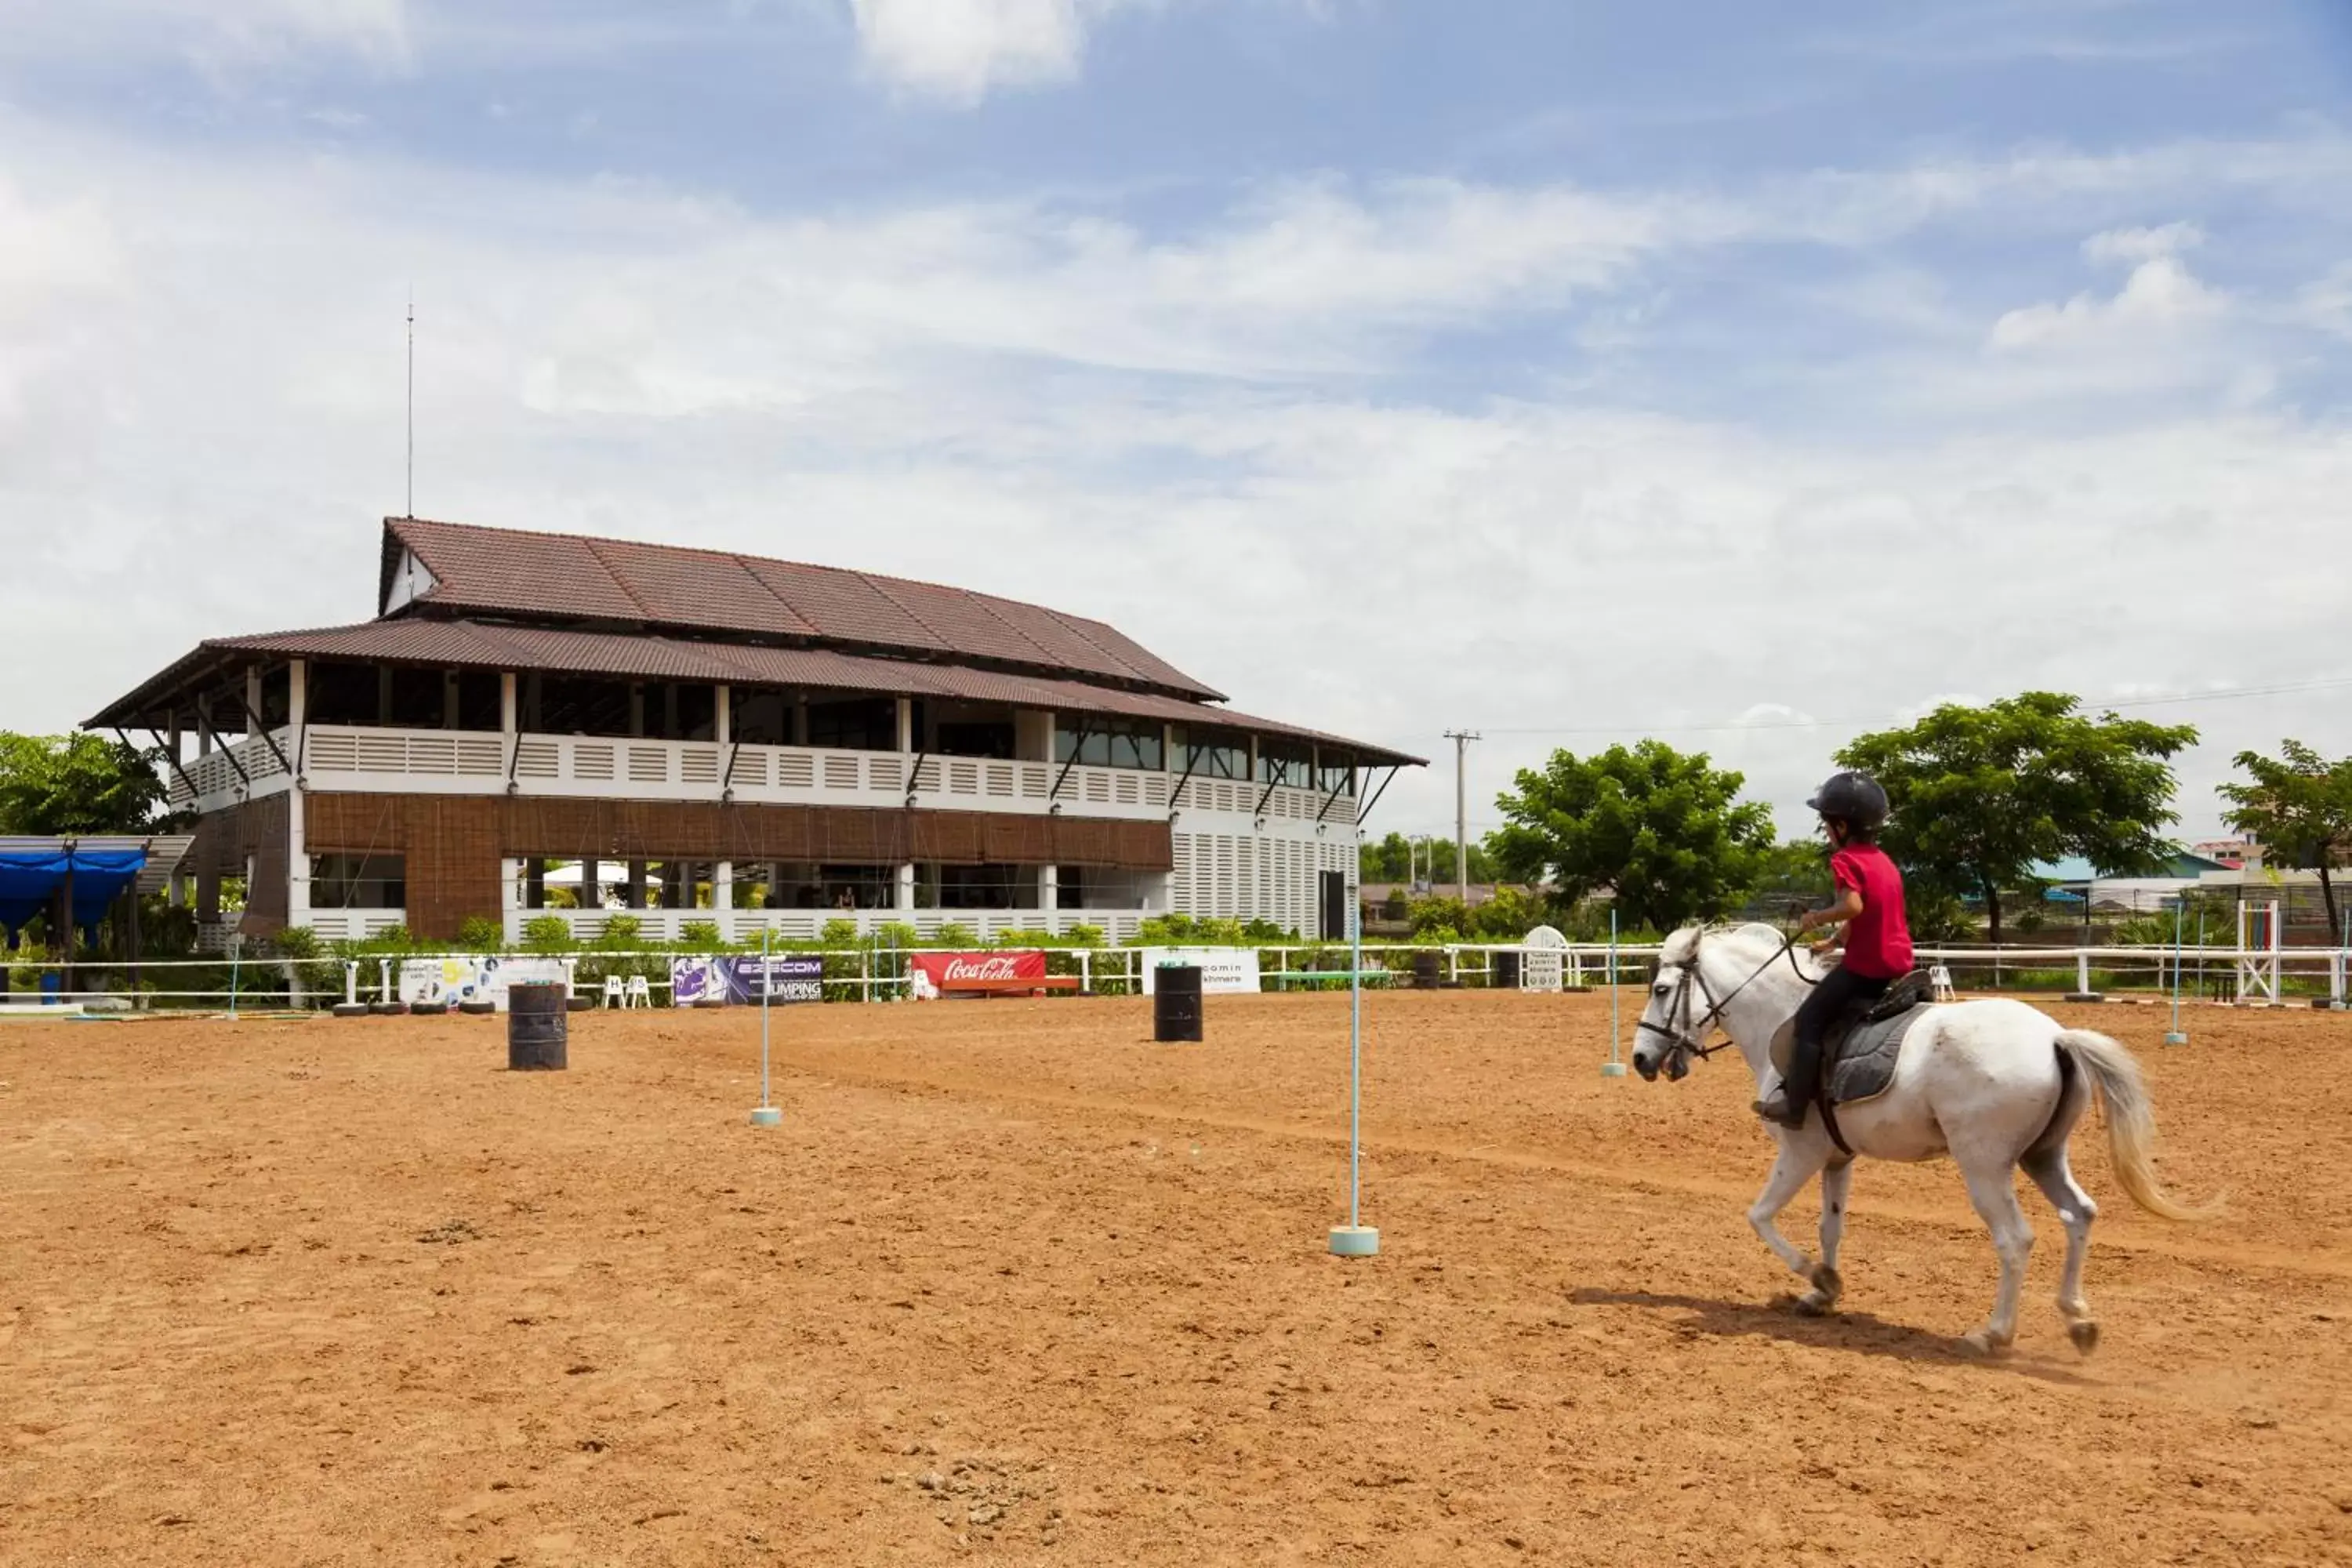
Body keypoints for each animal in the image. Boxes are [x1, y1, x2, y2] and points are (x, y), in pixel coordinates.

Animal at [1628, 926, 2211, 1354]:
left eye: (1661, 991)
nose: (1639, 1059)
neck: (1781, 1017)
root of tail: (2054, 1037)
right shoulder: (1837, 1158)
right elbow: (1829, 1227)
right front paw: (1821, 1293)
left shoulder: (1801, 1152)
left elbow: (1760, 1216)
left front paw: (1820, 1278)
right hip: (2042, 1156)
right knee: (2079, 1215)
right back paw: (2078, 1321)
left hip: (1984, 1166)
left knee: (2015, 1239)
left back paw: (1994, 1334)